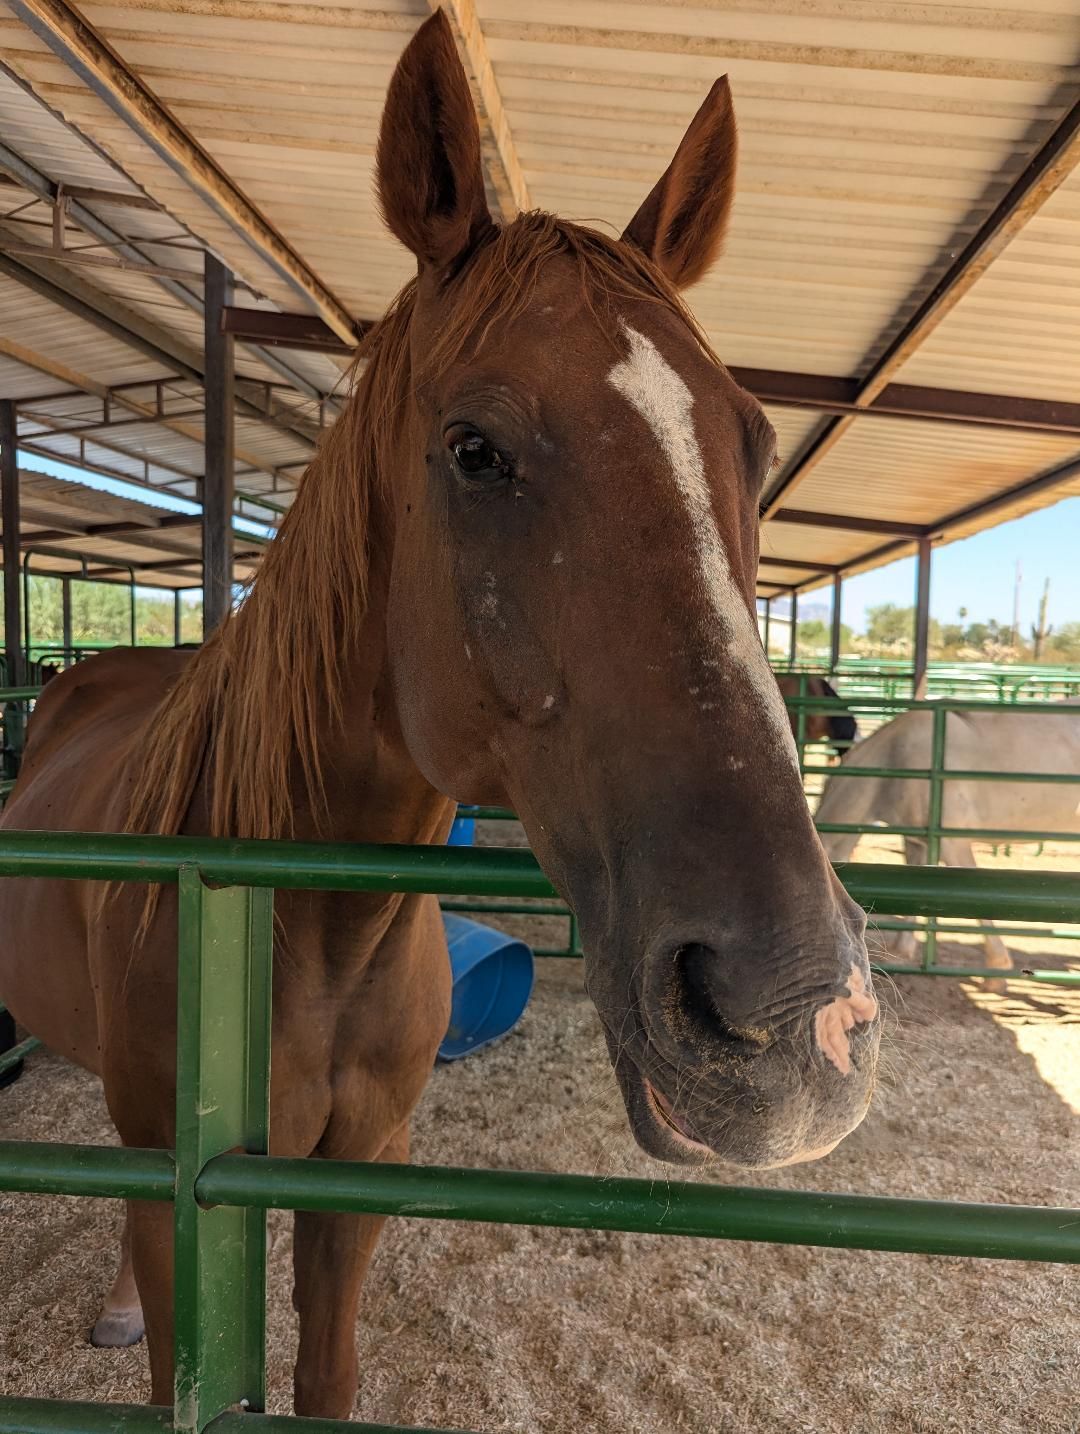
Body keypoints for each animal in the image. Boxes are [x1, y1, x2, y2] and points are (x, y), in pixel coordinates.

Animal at [0, 13, 879, 1419]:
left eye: (749, 443)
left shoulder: (355, 1177)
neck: (306, 931)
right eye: (475, 449)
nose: (795, 1018)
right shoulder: (184, 1192)